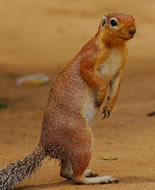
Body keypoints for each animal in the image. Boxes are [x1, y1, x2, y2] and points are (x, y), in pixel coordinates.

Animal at [0, 12, 136, 189]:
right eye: (113, 22)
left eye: (133, 18)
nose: (133, 30)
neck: (115, 46)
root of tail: (48, 145)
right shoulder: (90, 57)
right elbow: (92, 76)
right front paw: (101, 96)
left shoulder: (119, 71)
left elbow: (115, 88)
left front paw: (109, 106)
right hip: (82, 138)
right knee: (76, 177)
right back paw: (99, 179)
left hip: (73, 148)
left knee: (65, 172)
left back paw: (87, 173)